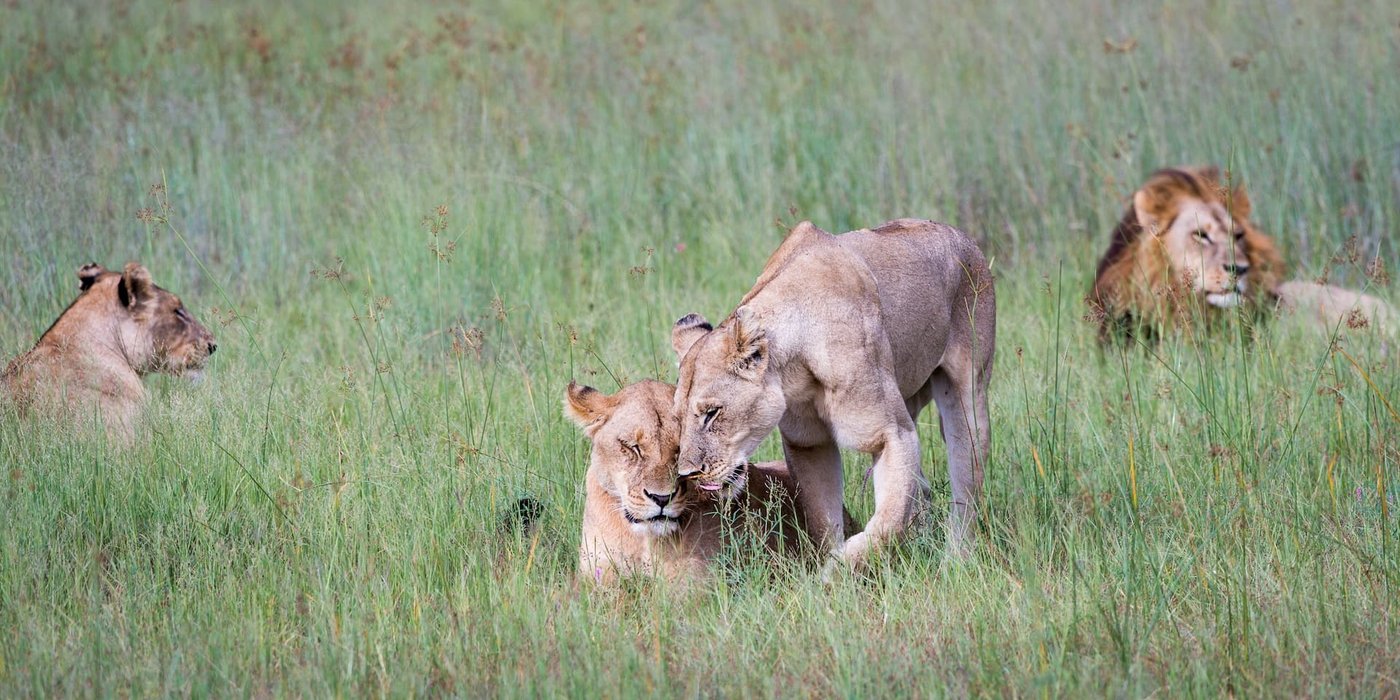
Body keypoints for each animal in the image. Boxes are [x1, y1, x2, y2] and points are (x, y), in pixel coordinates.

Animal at [670, 218, 996, 569]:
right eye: (678, 419)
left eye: (712, 413)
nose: (687, 474)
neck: (794, 367)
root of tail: (963, 236)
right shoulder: (809, 443)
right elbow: (823, 520)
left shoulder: (890, 434)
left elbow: (887, 521)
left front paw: (837, 570)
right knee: (919, 487)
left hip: (968, 396)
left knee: (965, 485)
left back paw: (956, 559)